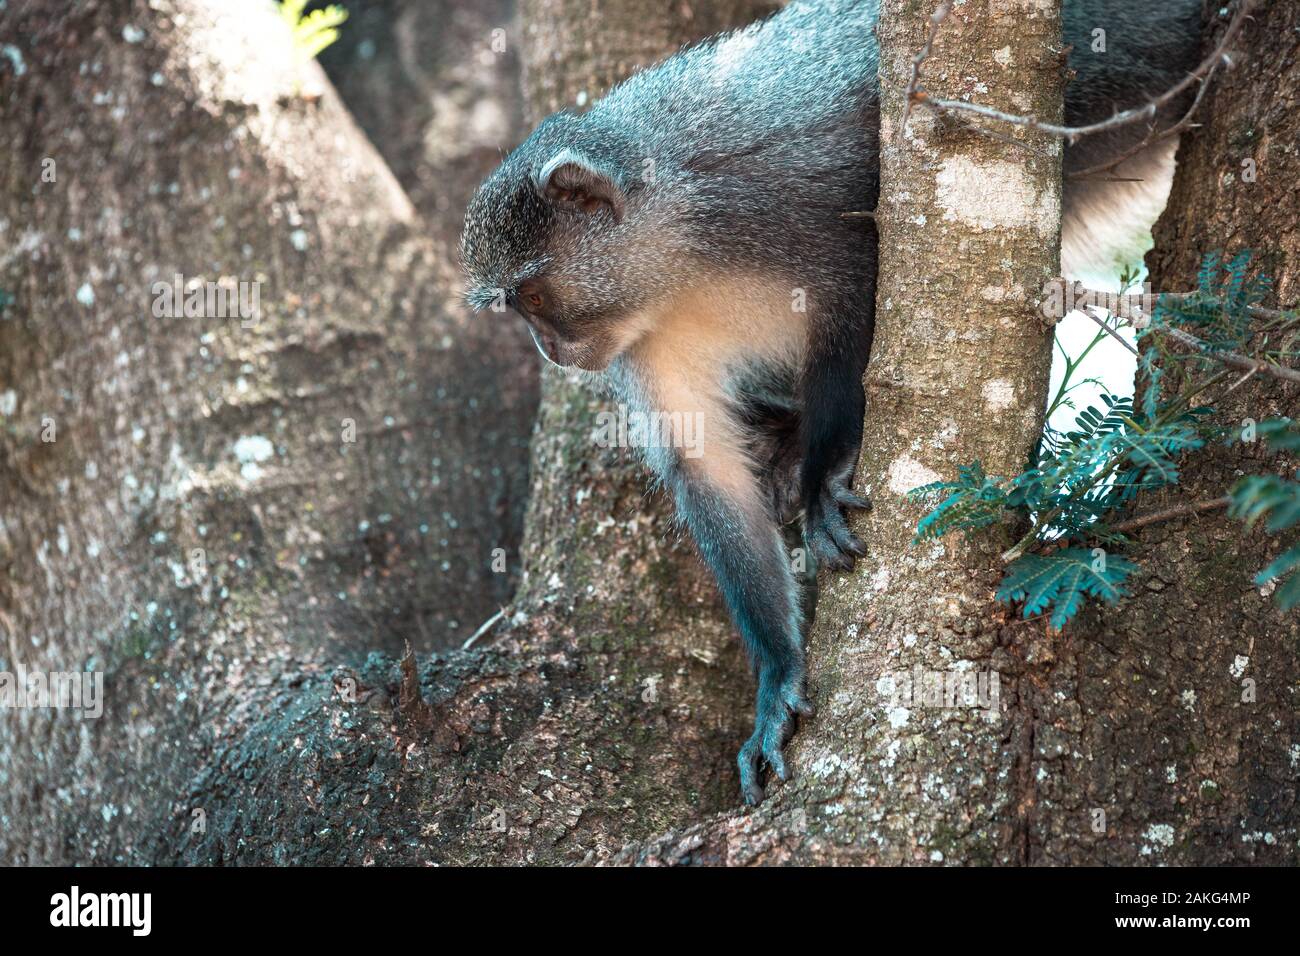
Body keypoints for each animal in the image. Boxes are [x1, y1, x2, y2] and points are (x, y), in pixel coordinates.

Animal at [462, 0, 1201, 806]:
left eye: (533, 297)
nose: (548, 350)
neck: (677, 246)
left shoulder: (786, 201)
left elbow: (861, 301)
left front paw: (824, 475)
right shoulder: (642, 345)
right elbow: (704, 465)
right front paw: (778, 676)